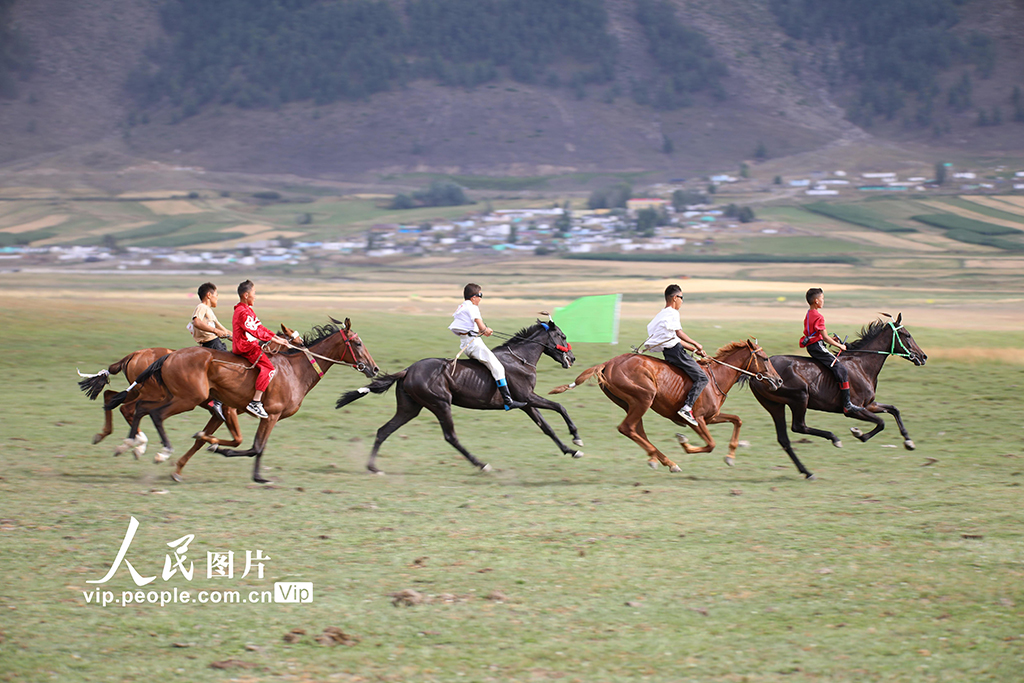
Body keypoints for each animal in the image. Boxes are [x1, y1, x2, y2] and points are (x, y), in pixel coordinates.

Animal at [105, 317, 378, 483]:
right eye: (357, 343)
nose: (374, 369)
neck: (294, 369)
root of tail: (167, 357)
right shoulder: (257, 412)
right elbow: (250, 445)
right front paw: (220, 450)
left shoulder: (239, 415)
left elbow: (220, 442)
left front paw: (183, 465)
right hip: (186, 398)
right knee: (151, 413)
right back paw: (157, 450)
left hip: (171, 396)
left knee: (137, 408)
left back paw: (131, 443)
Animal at [333, 321, 577, 475]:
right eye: (563, 336)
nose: (573, 358)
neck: (520, 359)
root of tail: (408, 370)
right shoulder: (527, 397)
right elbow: (560, 406)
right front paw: (576, 438)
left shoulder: (526, 404)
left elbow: (547, 427)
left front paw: (571, 450)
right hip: (441, 404)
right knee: (451, 437)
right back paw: (482, 465)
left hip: (410, 409)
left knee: (384, 431)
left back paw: (373, 467)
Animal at [552, 339, 782, 473]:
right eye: (764, 358)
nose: (778, 381)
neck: (716, 377)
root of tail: (608, 363)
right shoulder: (698, 420)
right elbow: (710, 444)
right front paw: (684, 443)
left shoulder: (711, 417)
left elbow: (737, 420)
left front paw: (730, 457)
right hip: (644, 398)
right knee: (627, 428)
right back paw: (668, 462)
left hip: (631, 404)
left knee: (636, 430)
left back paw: (659, 459)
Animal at [749, 315, 933, 481]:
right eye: (907, 335)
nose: (923, 356)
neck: (861, 364)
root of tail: (756, 374)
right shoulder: (853, 410)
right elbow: (881, 422)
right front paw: (859, 433)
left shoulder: (869, 405)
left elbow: (894, 410)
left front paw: (909, 442)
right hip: (799, 398)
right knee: (798, 426)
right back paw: (833, 439)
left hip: (775, 405)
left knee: (784, 439)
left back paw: (807, 472)